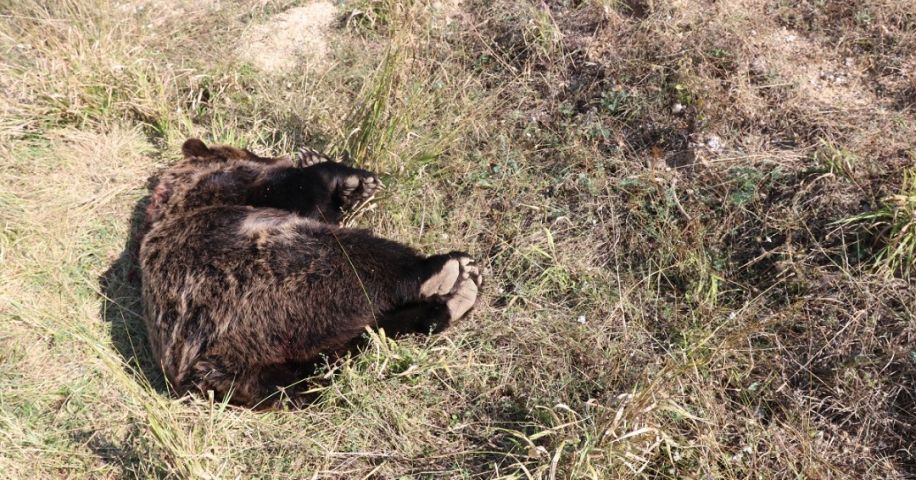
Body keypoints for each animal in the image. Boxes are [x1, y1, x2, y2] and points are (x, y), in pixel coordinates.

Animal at [138, 140, 480, 408]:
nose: (269, 154)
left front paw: (340, 178)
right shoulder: (232, 192)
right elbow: (300, 195)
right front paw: (344, 175)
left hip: (280, 350)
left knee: (343, 351)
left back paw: (450, 302)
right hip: (264, 282)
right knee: (359, 264)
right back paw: (446, 271)